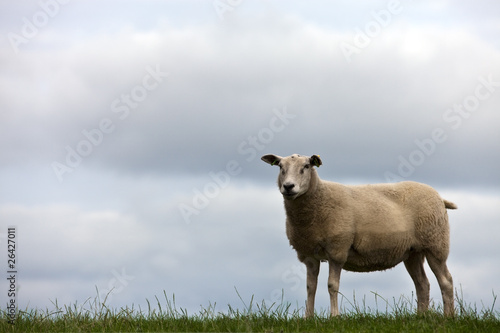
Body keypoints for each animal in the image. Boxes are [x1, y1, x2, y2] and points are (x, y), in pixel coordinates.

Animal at [262, 153, 458, 316]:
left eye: (306, 166)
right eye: (280, 167)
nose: (288, 186)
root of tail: (439, 197)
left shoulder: (338, 249)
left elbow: (332, 285)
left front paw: (335, 316)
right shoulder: (309, 254)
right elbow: (311, 286)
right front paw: (308, 317)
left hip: (436, 244)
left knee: (446, 281)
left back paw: (448, 317)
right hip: (413, 252)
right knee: (422, 284)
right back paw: (420, 317)